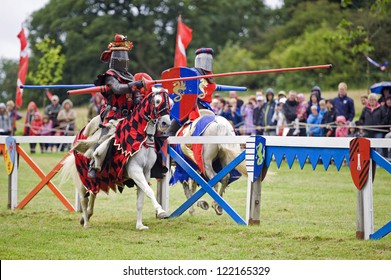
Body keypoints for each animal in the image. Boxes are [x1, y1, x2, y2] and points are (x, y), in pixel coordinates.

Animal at [60, 89, 172, 230]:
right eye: (157, 101)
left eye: (171, 103)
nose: (166, 123)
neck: (141, 138)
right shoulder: (135, 171)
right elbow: (149, 191)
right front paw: (161, 211)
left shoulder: (145, 173)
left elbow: (141, 200)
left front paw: (140, 225)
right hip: (82, 178)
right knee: (84, 199)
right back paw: (86, 223)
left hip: (96, 179)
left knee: (93, 194)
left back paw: (87, 216)